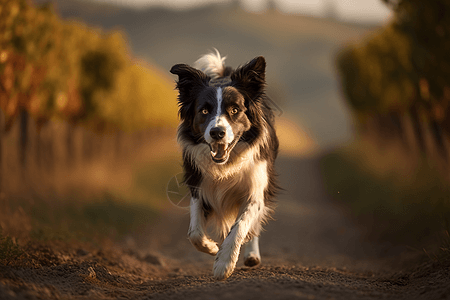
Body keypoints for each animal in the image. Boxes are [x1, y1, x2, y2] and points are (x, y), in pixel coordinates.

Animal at [171, 50, 280, 280]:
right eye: (204, 111)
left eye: (235, 109)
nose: (217, 132)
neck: (226, 164)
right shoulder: (198, 185)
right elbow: (194, 232)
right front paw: (213, 248)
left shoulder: (256, 189)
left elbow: (240, 226)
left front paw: (224, 262)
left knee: (253, 228)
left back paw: (251, 255)